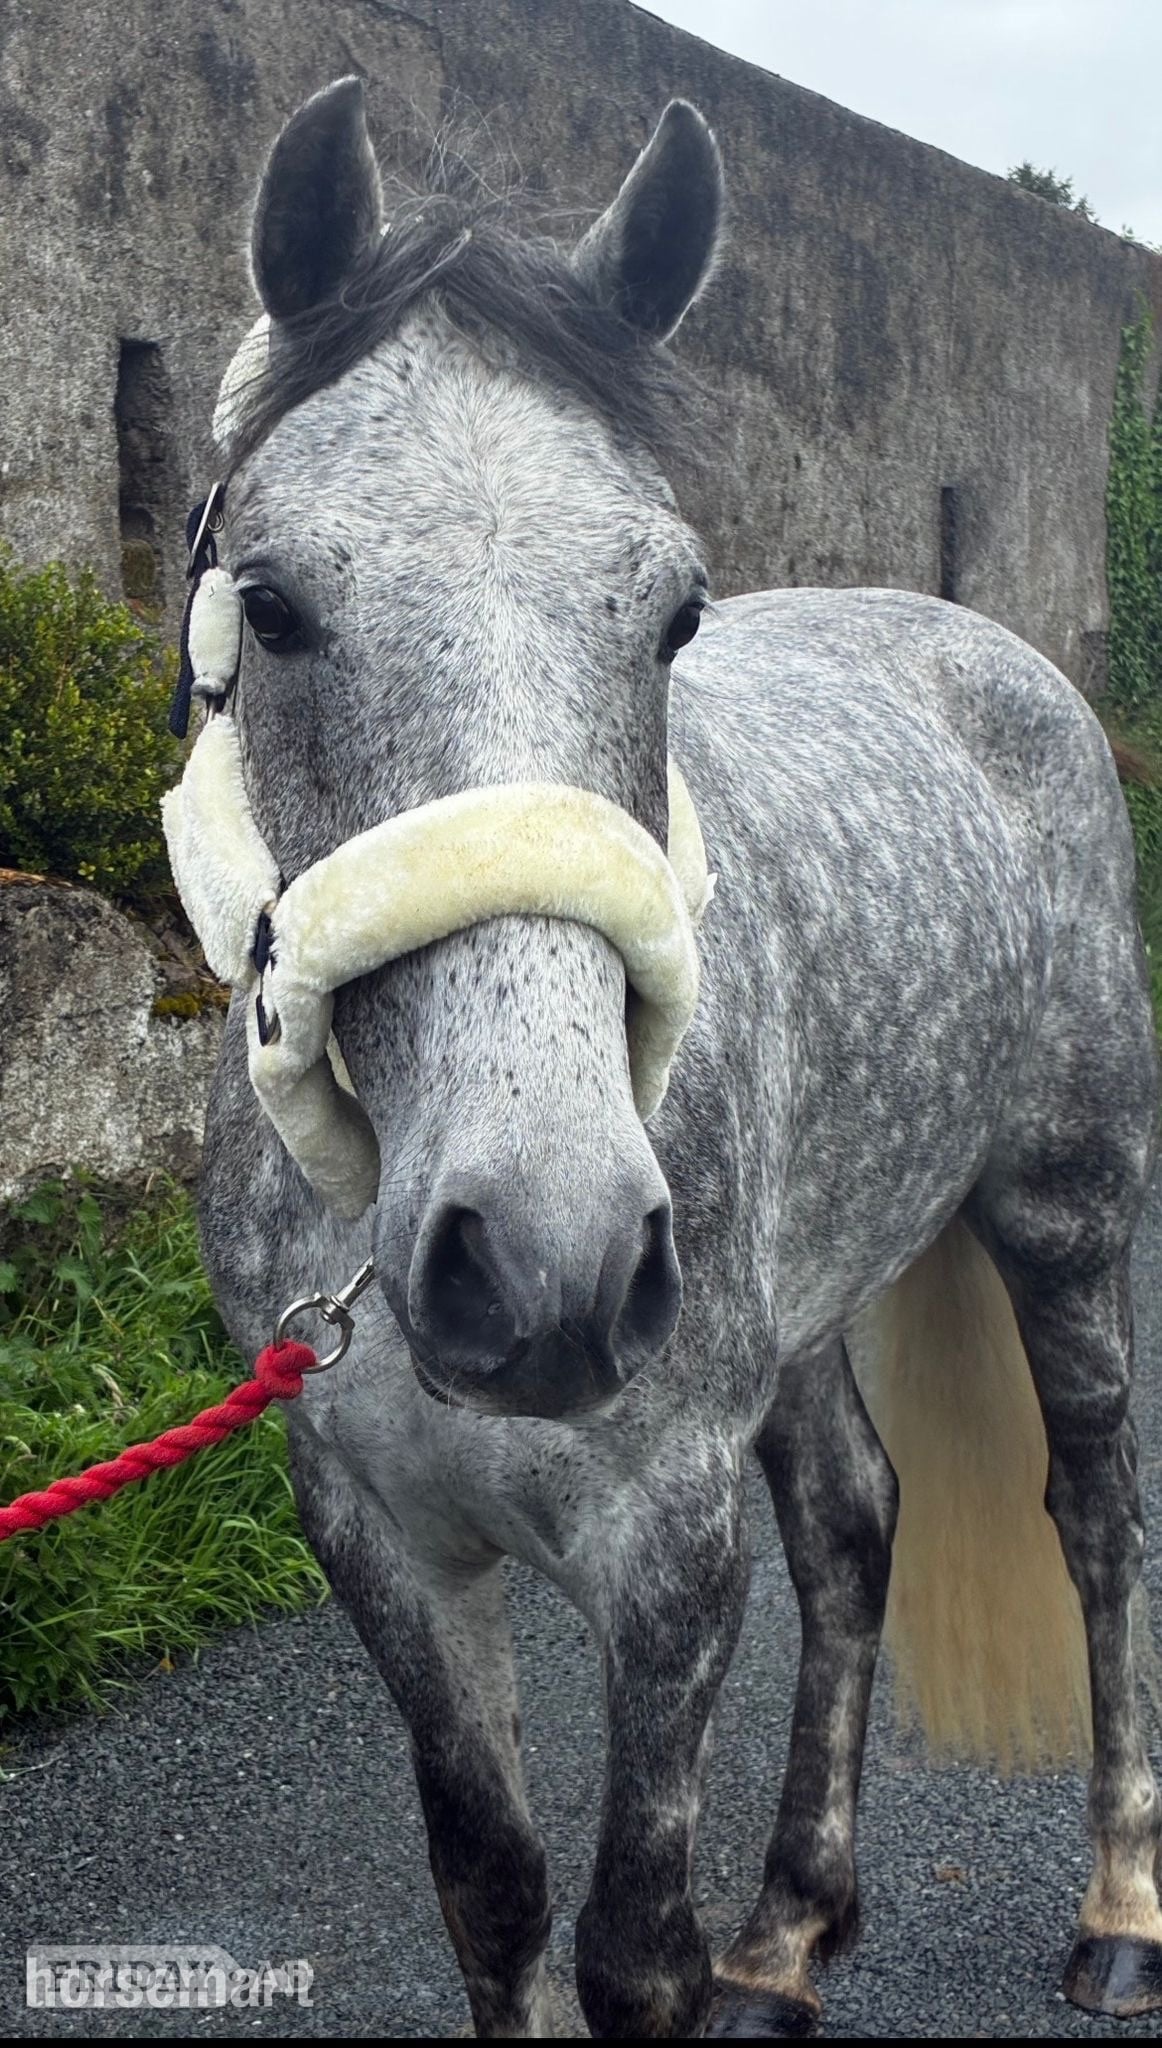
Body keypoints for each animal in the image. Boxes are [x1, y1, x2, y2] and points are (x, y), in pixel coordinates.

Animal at [191, 77, 1162, 2037]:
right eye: (271, 603)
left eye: (676, 613)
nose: (541, 1258)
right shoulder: (375, 1528)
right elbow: (492, 1892)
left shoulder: (666, 1536)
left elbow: (632, 1942)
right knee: (856, 1524)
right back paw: (786, 1931)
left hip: (1065, 1216)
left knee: (1094, 1509)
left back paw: (1117, 1905)